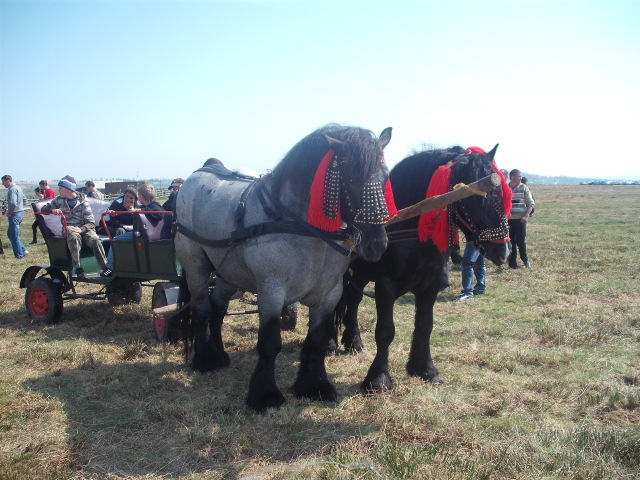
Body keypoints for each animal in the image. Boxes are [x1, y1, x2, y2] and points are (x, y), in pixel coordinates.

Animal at [176, 124, 396, 412]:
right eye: (350, 180)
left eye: (385, 178)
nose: (377, 245)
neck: (301, 228)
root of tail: (200, 171)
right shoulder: (271, 291)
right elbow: (270, 343)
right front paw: (265, 395)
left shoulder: (330, 293)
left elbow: (317, 339)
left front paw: (314, 386)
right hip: (195, 264)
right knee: (202, 308)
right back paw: (206, 360)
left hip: (228, 272)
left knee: (218, 306)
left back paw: (220, 354)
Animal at [332, 144, 512, 392]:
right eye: (480, 198)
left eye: (502, 194)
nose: (504, 251)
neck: (409, 229)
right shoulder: (385, 285)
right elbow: (385, 330)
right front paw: (378, 378)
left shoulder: (431, 286)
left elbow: (425, 325)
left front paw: (425, 368)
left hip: (359, 274)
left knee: (353, 298)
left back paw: (353, 341)